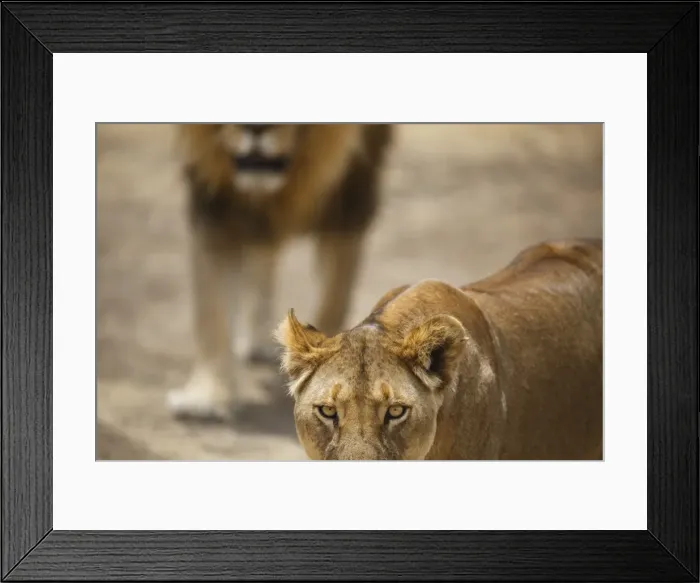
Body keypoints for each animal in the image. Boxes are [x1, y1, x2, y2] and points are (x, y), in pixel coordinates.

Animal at [167, 123, 394, 420]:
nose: (256, 128)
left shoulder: (350, 200)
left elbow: (334, 298)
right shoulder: (214, 203)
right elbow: (211, 309)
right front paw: (206, 398)